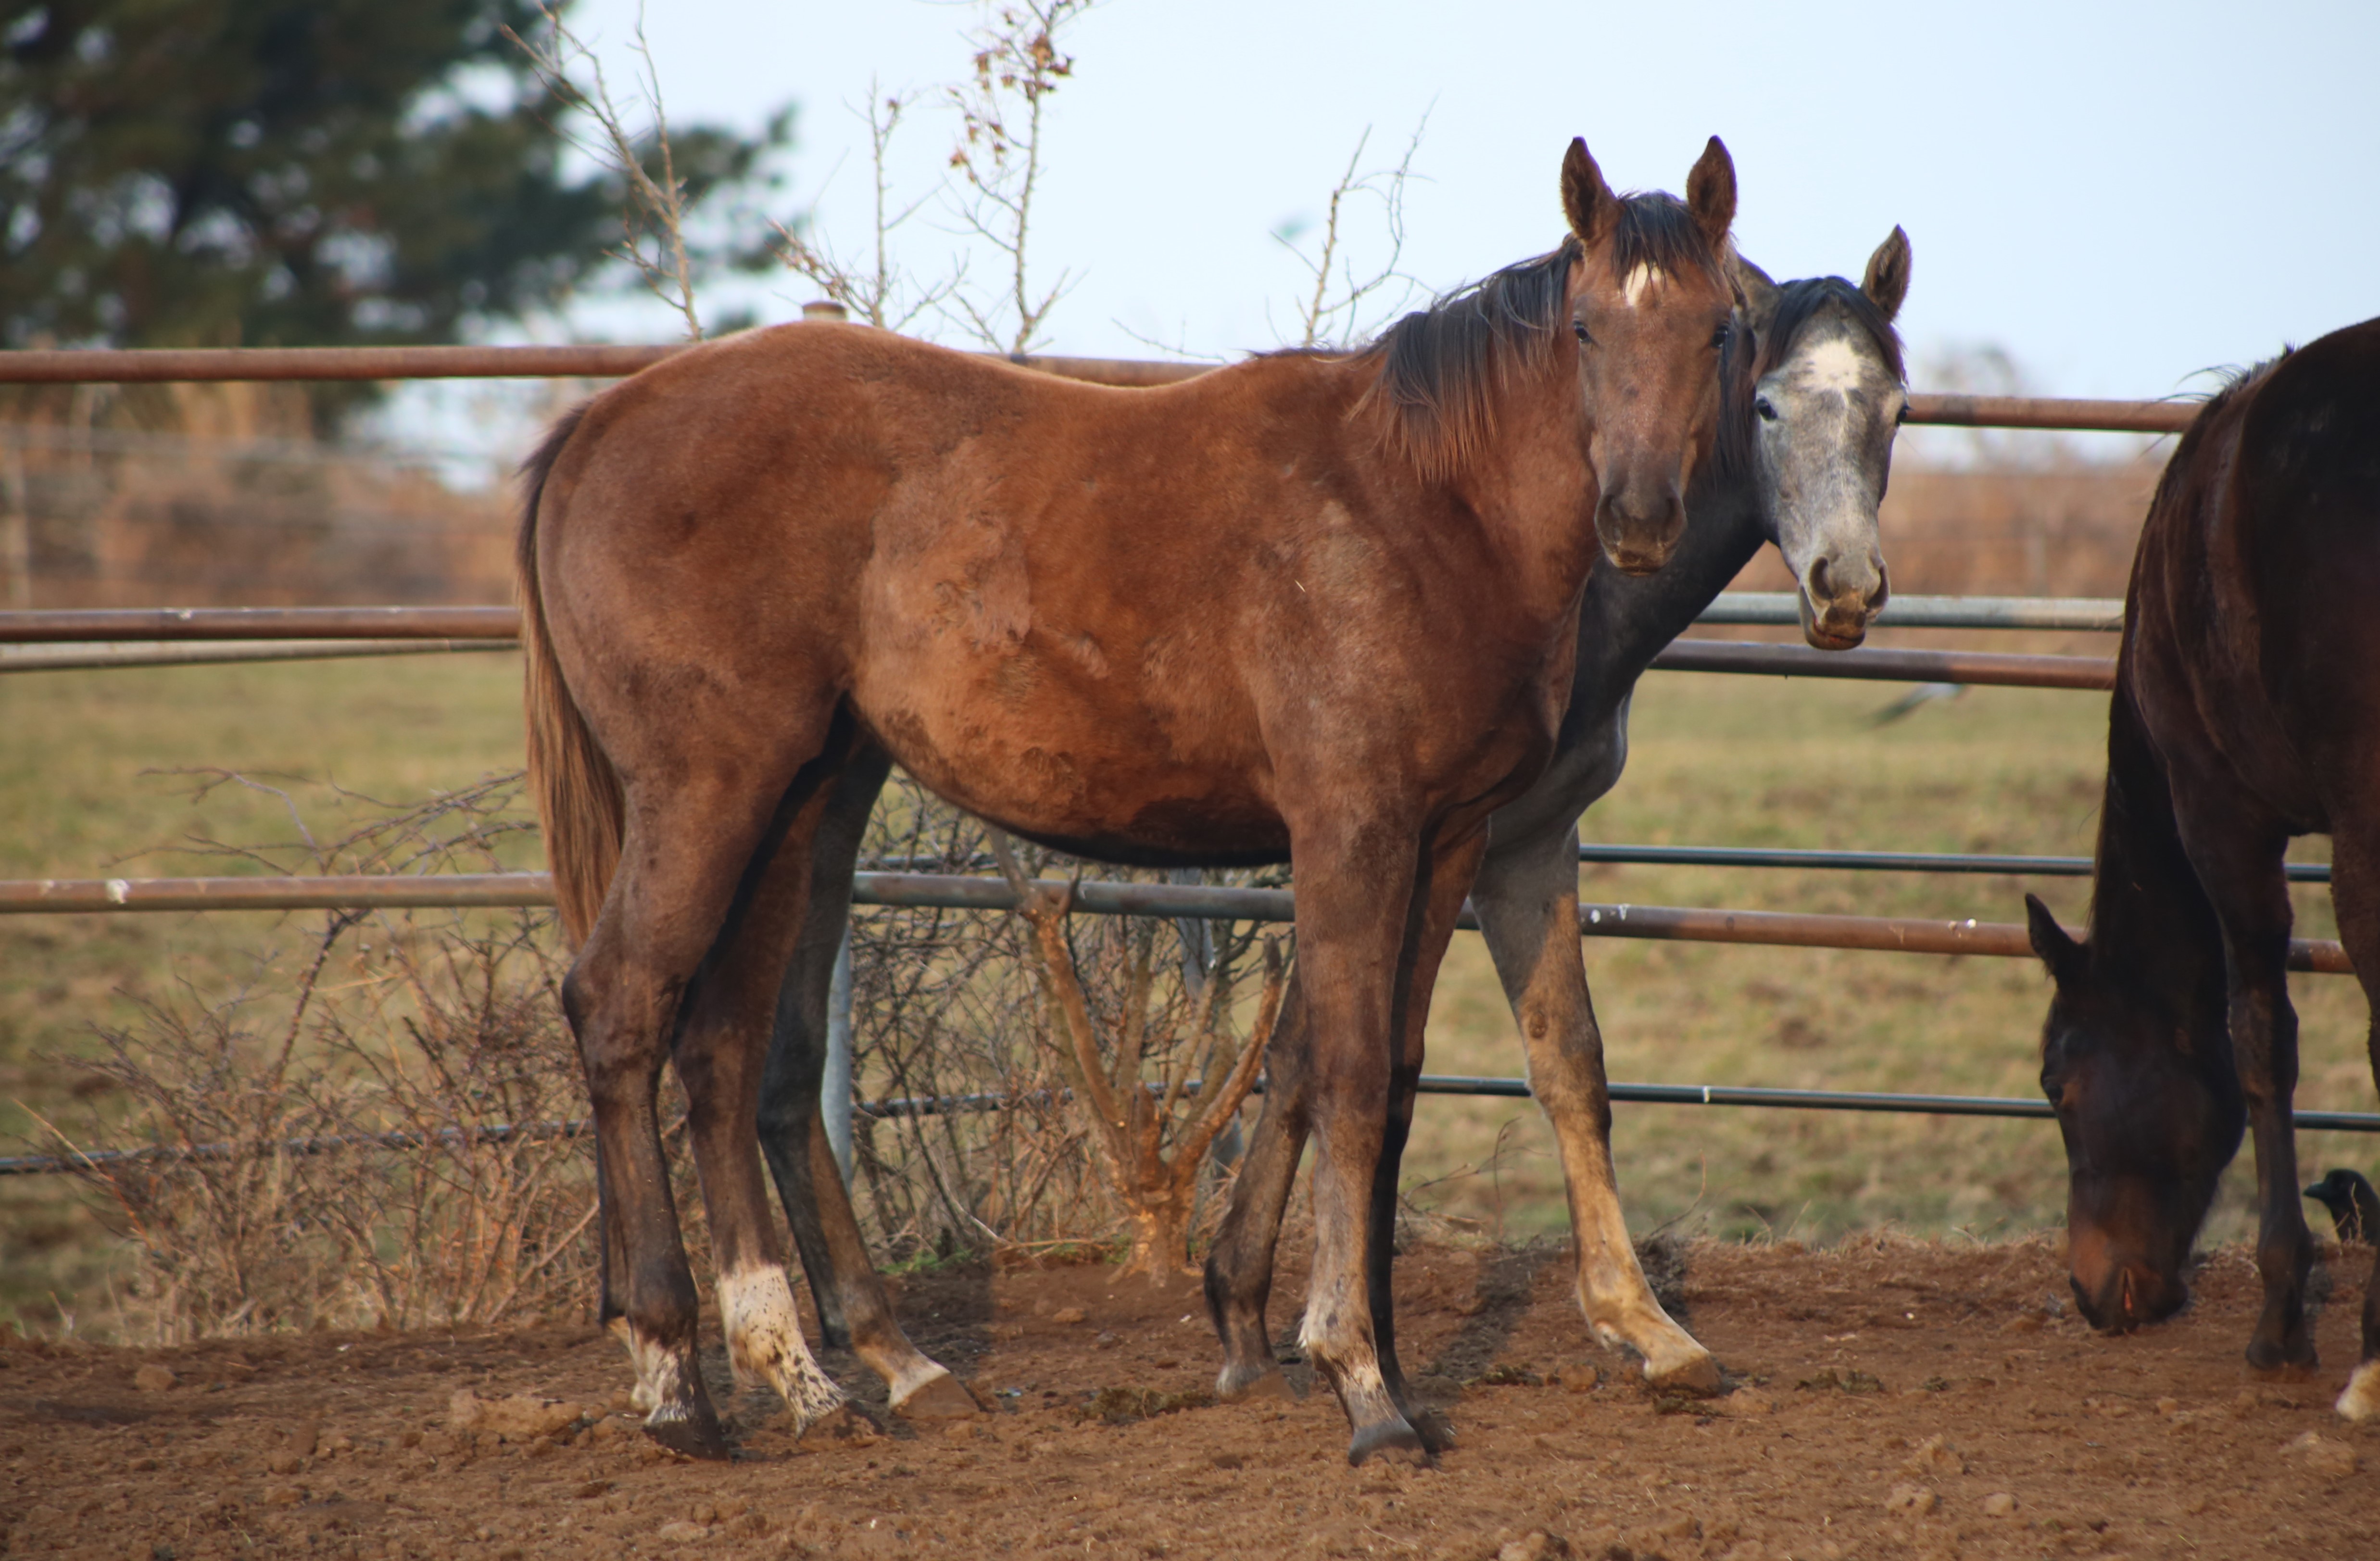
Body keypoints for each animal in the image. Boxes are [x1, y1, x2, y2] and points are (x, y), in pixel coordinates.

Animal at [521, 134, 1742, 1466]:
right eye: (1582, 327)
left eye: (1717, 331)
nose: (1640, 517)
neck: (1418, 511)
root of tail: (598, 419)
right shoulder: (1351, 827)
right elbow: (1350, 1072)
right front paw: (1358, 1382)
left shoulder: (1452, 838)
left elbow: (1400, 1081)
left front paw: (1394, 1378)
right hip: (708, 789)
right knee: (621, 1006)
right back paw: (677, 1380)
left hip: (801, 801)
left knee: (732, 1052)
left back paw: (839, 1373)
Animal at [1209, 232, 1913, 1399]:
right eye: (1764, 405)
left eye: (1896, 409)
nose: (1844, 585)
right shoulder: (1421, 845)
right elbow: (1324, 1052)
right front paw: (1262, 1310)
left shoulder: (1527, 842)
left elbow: (1562, 1060)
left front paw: (1640, 1325)